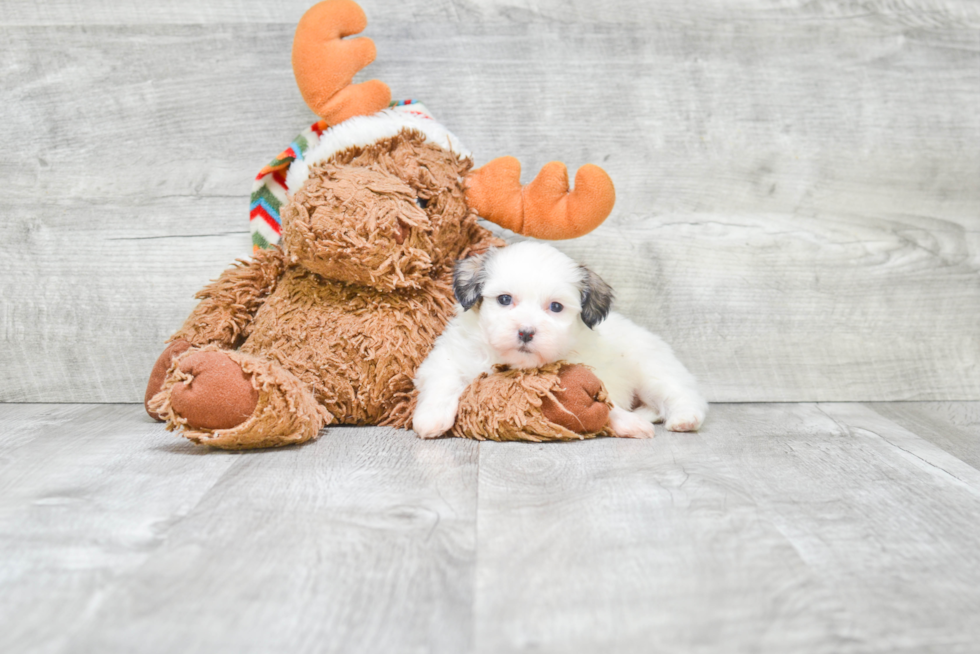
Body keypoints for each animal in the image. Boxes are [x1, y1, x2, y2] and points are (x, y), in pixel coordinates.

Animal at [410, 245, 708, 440]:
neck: (515, 365)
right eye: (505, 299)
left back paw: (684, 418)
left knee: (681, 394)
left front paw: (626, 423)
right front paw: (432, 418)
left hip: (651, 373)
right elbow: (444, 383)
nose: (526, 332)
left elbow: (606, 404)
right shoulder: (448, 359)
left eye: (555, 307)